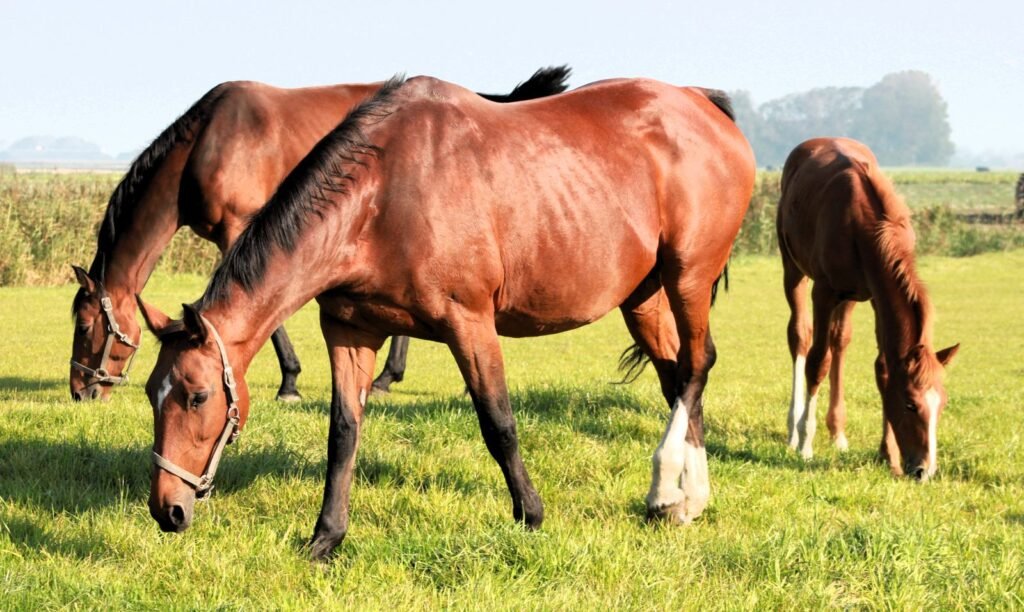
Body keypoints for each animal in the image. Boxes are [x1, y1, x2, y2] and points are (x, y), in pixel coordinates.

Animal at [68, 66, 572, 401]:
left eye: (85, 325)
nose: (80, 389)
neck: (208, 143)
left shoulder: (239, 229)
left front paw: (289, 382)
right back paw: (389, 377)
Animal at [136, 75, 755, 559]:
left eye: (196, 396)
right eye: (149, 394)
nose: (167, 509)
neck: (381, 196)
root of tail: (700, 103)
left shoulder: (470, 323)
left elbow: (498, 423)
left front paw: (530, 515)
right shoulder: (350, 332)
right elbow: (343, 434)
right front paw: (326, 538)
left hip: (688, 276)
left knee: (697, 364)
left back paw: (669, 490)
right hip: (643, 297)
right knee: (676, 376)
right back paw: (684, 501)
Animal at [776, 137, 959, 478]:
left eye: (942, 404)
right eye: (910, 404)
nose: (924, 470)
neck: (865, 226)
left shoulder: (876, 297)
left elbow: (884, 367)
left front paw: (889, 455)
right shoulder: (824, 292)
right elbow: (818, 362)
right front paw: (806, 445)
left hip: (850, 296)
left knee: (840, 340)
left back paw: (838, 432)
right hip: (793, 271)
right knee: (800, 337)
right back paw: (794, 431)